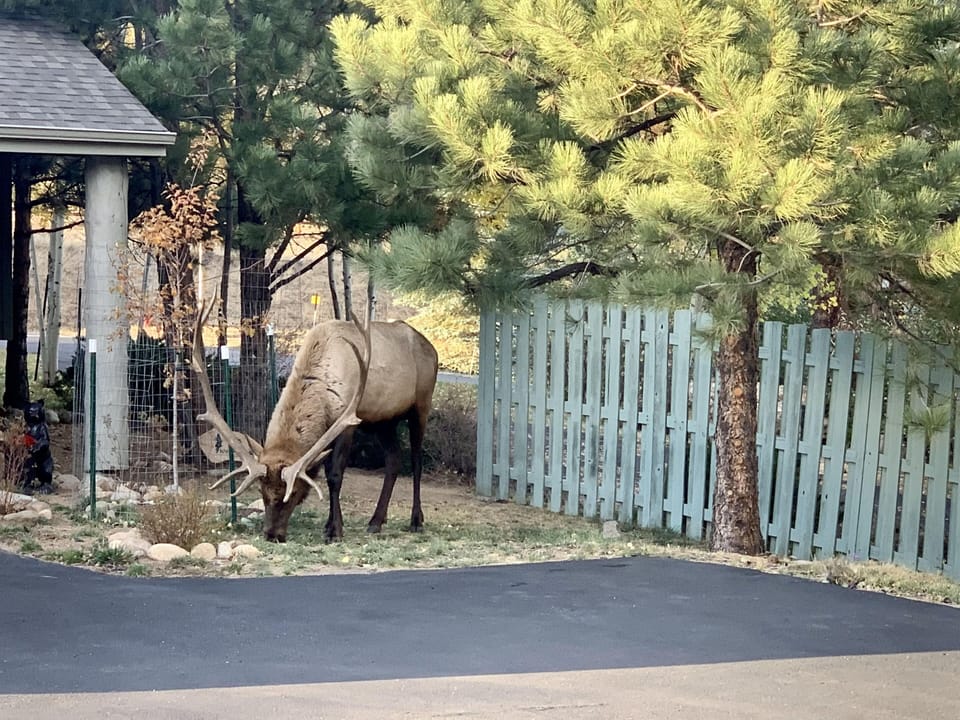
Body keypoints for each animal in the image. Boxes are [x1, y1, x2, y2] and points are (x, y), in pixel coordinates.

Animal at [190, 302, 439, 543]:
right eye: (262, 492)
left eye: (292, 494)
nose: (272, 534)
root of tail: (432, 349)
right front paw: (329, 525)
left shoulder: (347, 421)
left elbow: (335, 476)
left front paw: (335, 531)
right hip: (384, 421)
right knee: (394, 459)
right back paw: (376, 521)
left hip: (421, 406)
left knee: (416, 460)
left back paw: (416, 521)